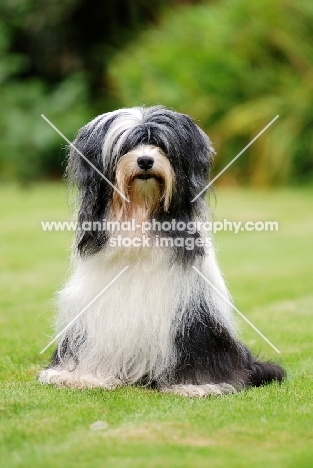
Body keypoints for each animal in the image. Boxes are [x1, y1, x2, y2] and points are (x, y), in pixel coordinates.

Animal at [38, 105, 282, 394]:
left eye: (161, 145)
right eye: (126, 147)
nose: (145, 161)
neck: (141, 215)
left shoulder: (191, 312)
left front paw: (196, 385)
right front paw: (82, 376)